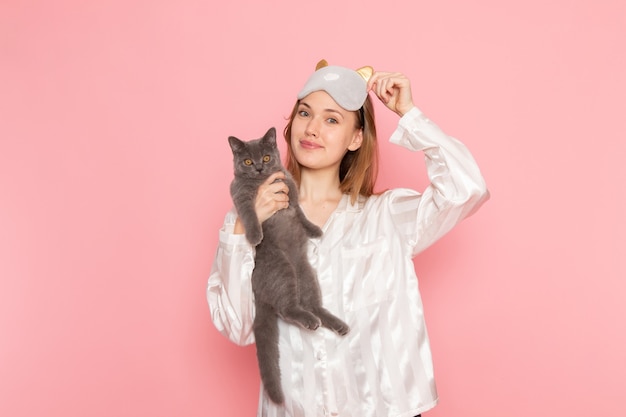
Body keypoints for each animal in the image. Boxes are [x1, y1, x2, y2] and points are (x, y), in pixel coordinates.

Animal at [227, 127, 348, 404]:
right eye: (247, 161)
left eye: (267, 157)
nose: (259, 167)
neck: (263, 182)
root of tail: (259, 293)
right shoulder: (239, 194)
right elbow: (250, 214)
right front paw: (254, 236)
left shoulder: (289, 185)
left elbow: (299, 212)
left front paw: (313, 229)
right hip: (281, 269)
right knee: (287, 309)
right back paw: (310, 320)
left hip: (306, 273)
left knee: (312, 304)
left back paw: (335, 323)